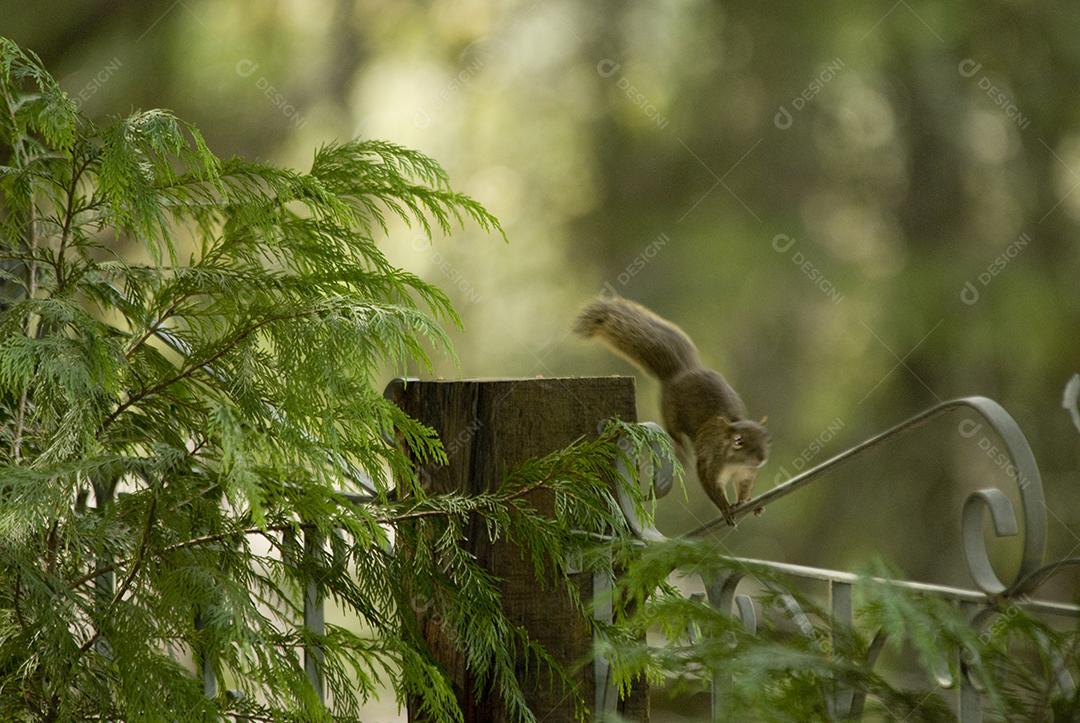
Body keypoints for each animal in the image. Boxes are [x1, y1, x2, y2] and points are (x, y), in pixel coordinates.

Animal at [574, 293, 768, 525]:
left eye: (767, 439)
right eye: (738, 441)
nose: (761, 458)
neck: (735, 464)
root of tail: (682, 372)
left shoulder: (747, 473)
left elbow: (745, 487)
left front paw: (748, 502)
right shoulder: (709, 464)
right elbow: (711, 487)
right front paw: (725, 508)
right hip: (670, 414)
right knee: (674, 432)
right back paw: (681, 450)